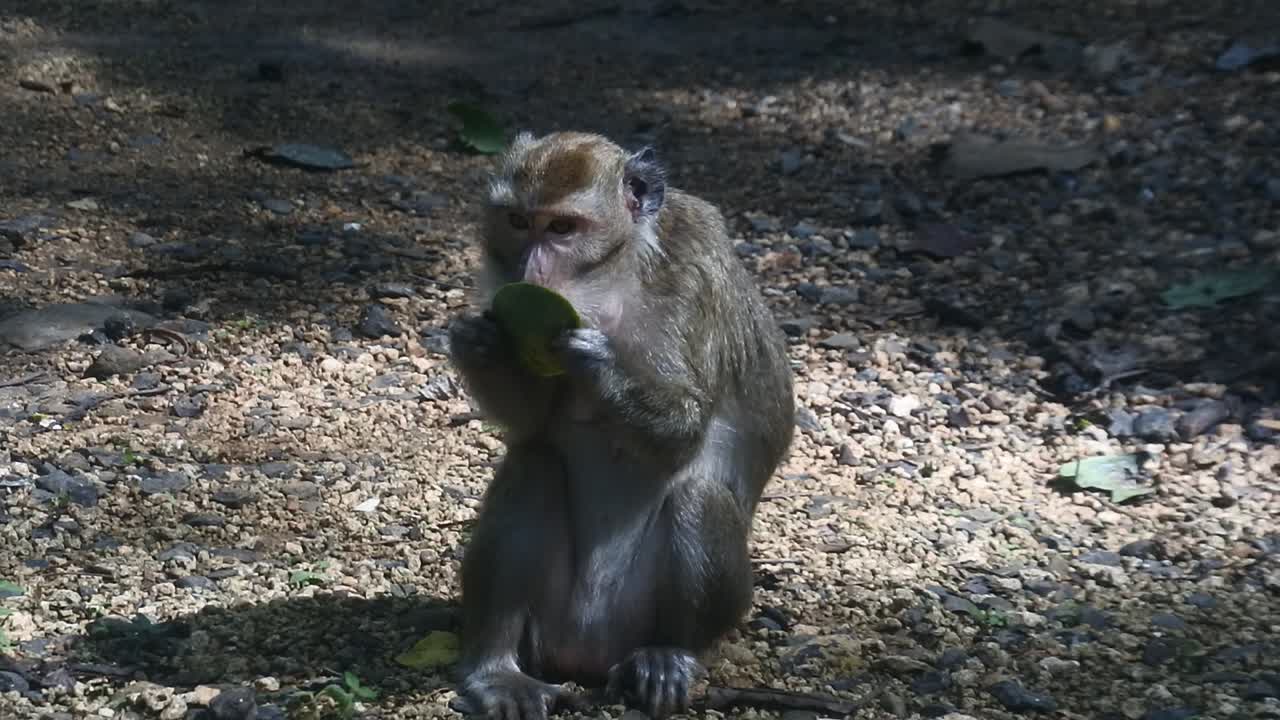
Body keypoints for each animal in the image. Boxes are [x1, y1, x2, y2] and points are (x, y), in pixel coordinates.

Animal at [446, 131, 795, 720]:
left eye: (563, 229)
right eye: (518, 221)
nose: (530, 274)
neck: (608, 279)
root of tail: (585, 653)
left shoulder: (692, 279)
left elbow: (685, 430)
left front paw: (598, 361)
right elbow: (532, 423)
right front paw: (482, 344)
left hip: (646, 617)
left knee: (698, 497)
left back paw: (669, 655)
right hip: (548, 622)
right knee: (534, 466)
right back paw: (497, 669)